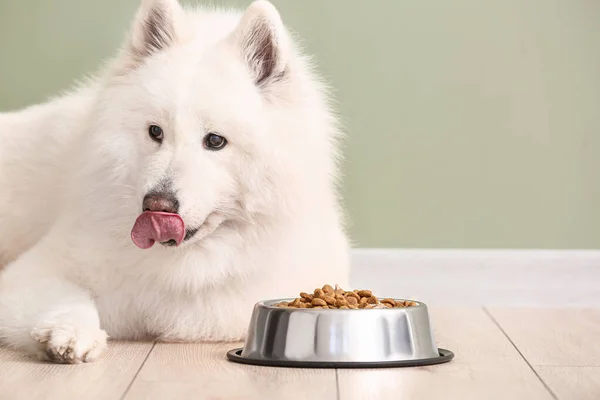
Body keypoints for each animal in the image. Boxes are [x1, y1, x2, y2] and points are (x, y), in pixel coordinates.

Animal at [0, 0, 352, 362]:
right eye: (156, 132)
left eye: (215, 141)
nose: (156, 205)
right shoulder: (34, 271)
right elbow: (69, 299)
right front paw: (68, 334)